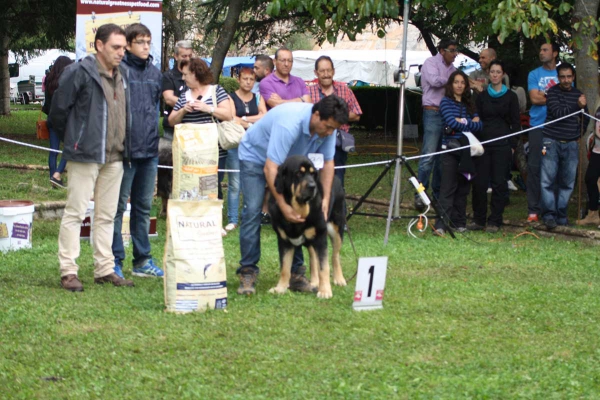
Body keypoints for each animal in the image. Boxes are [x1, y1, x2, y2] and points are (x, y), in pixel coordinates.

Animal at [268, 155, 346, 298]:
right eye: (299, 173)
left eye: (312, 174)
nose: (312, 186)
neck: (299, 209)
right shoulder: (284, 241)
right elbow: (285, 268)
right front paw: (280, 288)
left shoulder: (320, 237)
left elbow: (324, 267)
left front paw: (325, 291)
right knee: (313, 258)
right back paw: (314, 282)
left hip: (337, 228)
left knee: (335, 255)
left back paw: (339, 279)